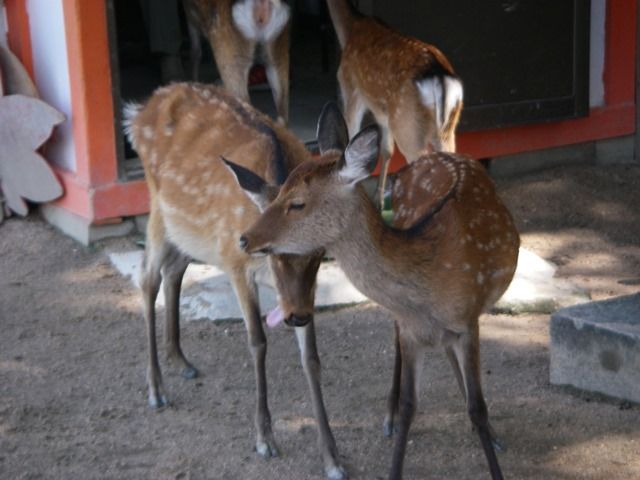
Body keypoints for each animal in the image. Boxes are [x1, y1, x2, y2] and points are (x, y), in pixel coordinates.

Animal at [123, 84, 346, 480]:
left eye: (320, 252)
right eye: (271, 251)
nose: (297, 316)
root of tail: (138, 111)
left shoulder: (300, 291)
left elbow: (311, 358)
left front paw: (332, 460)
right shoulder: (233, 260)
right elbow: (257, 342)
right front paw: (264, 440)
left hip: (192, 230)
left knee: (173, 269)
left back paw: (180, 359)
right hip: (158, 207)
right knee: (147, 276)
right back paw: (156, 389)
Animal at [227, 103, 520, 480]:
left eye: (297, 203)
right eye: (277, 194)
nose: (244, 238)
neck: (434, 281)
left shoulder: (469, 321)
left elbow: (479, 408)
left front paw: (488, 439)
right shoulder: (411, 328)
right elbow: (410, 406)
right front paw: (397, 424)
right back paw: (389, 415)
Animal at [326, 0, 464, 209]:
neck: (350, 29)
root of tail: (440, 79)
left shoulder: (351, 90)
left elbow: (351, 137)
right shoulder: (384, 113)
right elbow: (387, 150)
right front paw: (379, 199)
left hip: (408, 127)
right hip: (446, 130)